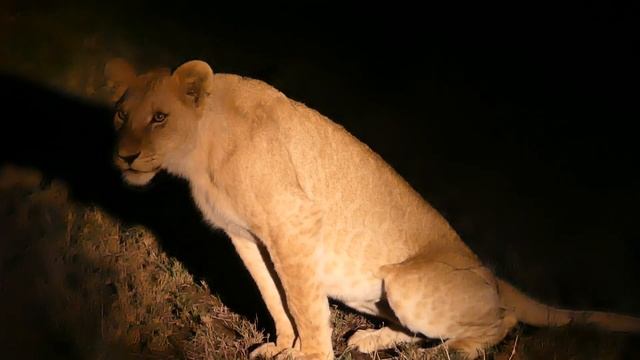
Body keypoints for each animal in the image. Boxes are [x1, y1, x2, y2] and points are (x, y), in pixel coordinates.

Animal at [106, 57, 640, 358]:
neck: (198, 154)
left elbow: (302, 303)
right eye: (120, 115)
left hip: (406, 283)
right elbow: (275, 298)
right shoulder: (245, 236)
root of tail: (490, 271)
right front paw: (279, 346)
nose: (125, 157)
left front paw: (307, 356)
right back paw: (371, 340)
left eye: (160, 118)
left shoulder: (293, 225)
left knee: (502, 322)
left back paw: (445, 353)